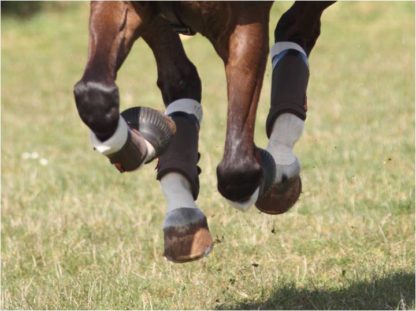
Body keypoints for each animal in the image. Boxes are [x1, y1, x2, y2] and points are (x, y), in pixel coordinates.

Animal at [74, 0, 334, 264]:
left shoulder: (244, 23)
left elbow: (237, 168)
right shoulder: (135, 11)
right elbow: (95, 93)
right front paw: (144, 143)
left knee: (297, 27)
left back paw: (282, 168)